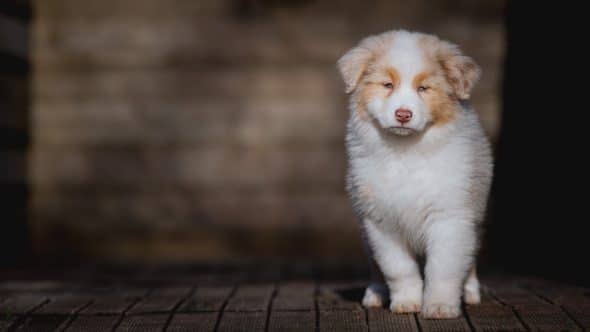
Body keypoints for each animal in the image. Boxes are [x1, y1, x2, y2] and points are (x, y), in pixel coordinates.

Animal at [338, 31, 494, 320]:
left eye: (423, 88)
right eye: (387, 84)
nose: (403, 114)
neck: (407, 151)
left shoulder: (450, 218)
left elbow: (443, 268)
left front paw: (440, 307)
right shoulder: (381, 221)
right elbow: (398, 268)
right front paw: (407, 302)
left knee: (470, 260)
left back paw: (470, 291)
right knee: (375, 266)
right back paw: (375, 294)